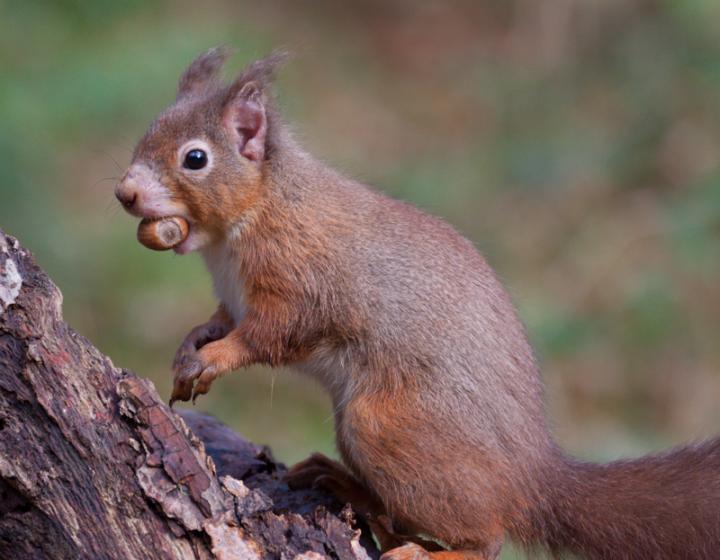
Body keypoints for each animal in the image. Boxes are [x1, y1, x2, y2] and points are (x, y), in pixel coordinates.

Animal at [115, 49, 716, 560]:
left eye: (196, 159)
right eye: (145, 134)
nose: (125, 193)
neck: (250, 216)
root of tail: (531, 479)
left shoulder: (301, 280)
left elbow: (271, 335)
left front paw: (214, 359)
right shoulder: (232, 301)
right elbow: (219, 322)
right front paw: (191, 346)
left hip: (386, 427)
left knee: (486, 539)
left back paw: (424, 546)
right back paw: (347, 487)